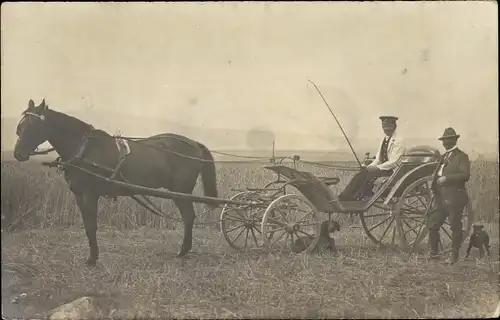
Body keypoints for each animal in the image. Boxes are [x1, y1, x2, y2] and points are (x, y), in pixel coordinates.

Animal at [12, 99, 217, 266]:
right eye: (21, 126)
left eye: (34, 125)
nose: (18, 154)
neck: (84, 149)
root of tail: (195, 144)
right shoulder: (79, 195)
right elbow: (87, 225)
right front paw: (92, 256)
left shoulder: (89, 195)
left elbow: (91, 226)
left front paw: (93, 258)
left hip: (181, 191)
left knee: (188, 217)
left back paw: (183, 251)